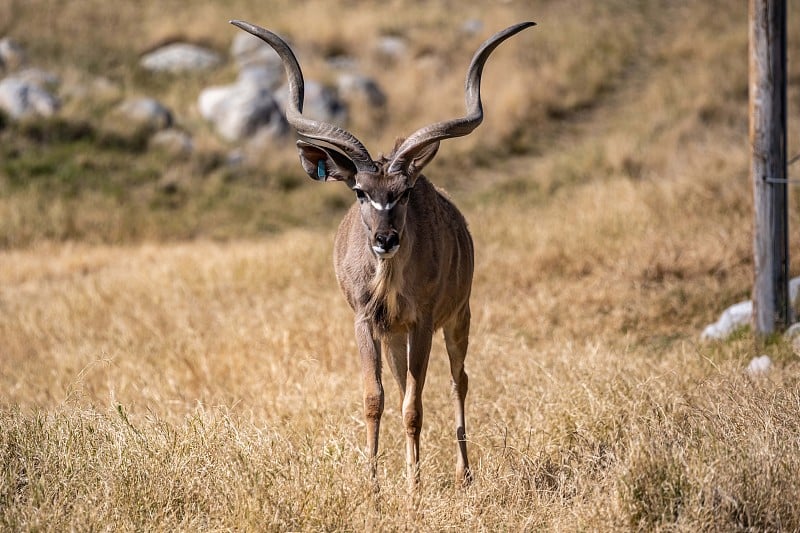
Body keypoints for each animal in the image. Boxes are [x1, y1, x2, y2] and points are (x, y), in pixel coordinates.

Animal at [233, 19, 536, 490]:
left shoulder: (423, 321)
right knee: (405, 388)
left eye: (405, 191)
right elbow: (375, 398)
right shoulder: (365, 321)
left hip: (458, 317)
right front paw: (373, 485)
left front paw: (413, 488)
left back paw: (463, 473)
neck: (388, 279)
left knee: (458, 381)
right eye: (360, 190)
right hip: (396, 336)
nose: (385, 239)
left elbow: (415, 405)